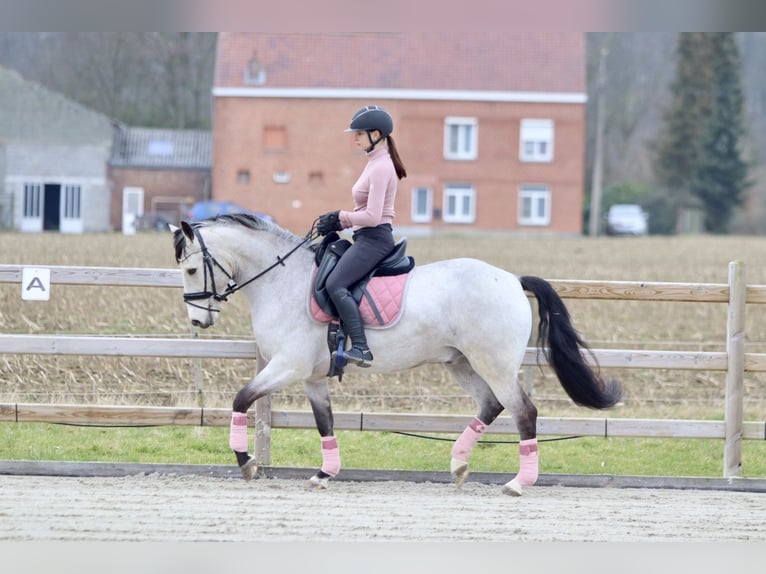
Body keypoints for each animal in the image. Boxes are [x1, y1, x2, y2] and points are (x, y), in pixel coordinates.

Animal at [171, 214, 620, 498]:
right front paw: (323, 474)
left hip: (493, 364)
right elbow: (324, 422)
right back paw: (458, 465)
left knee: (523, 412)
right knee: (490, 405)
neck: (283, 280)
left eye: (191, 270)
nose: (198, 319)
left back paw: (517, 483)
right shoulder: (312, 376)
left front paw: (246, 462)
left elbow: (241, 399)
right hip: (460, 362)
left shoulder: (288, 366)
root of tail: (511, 279)